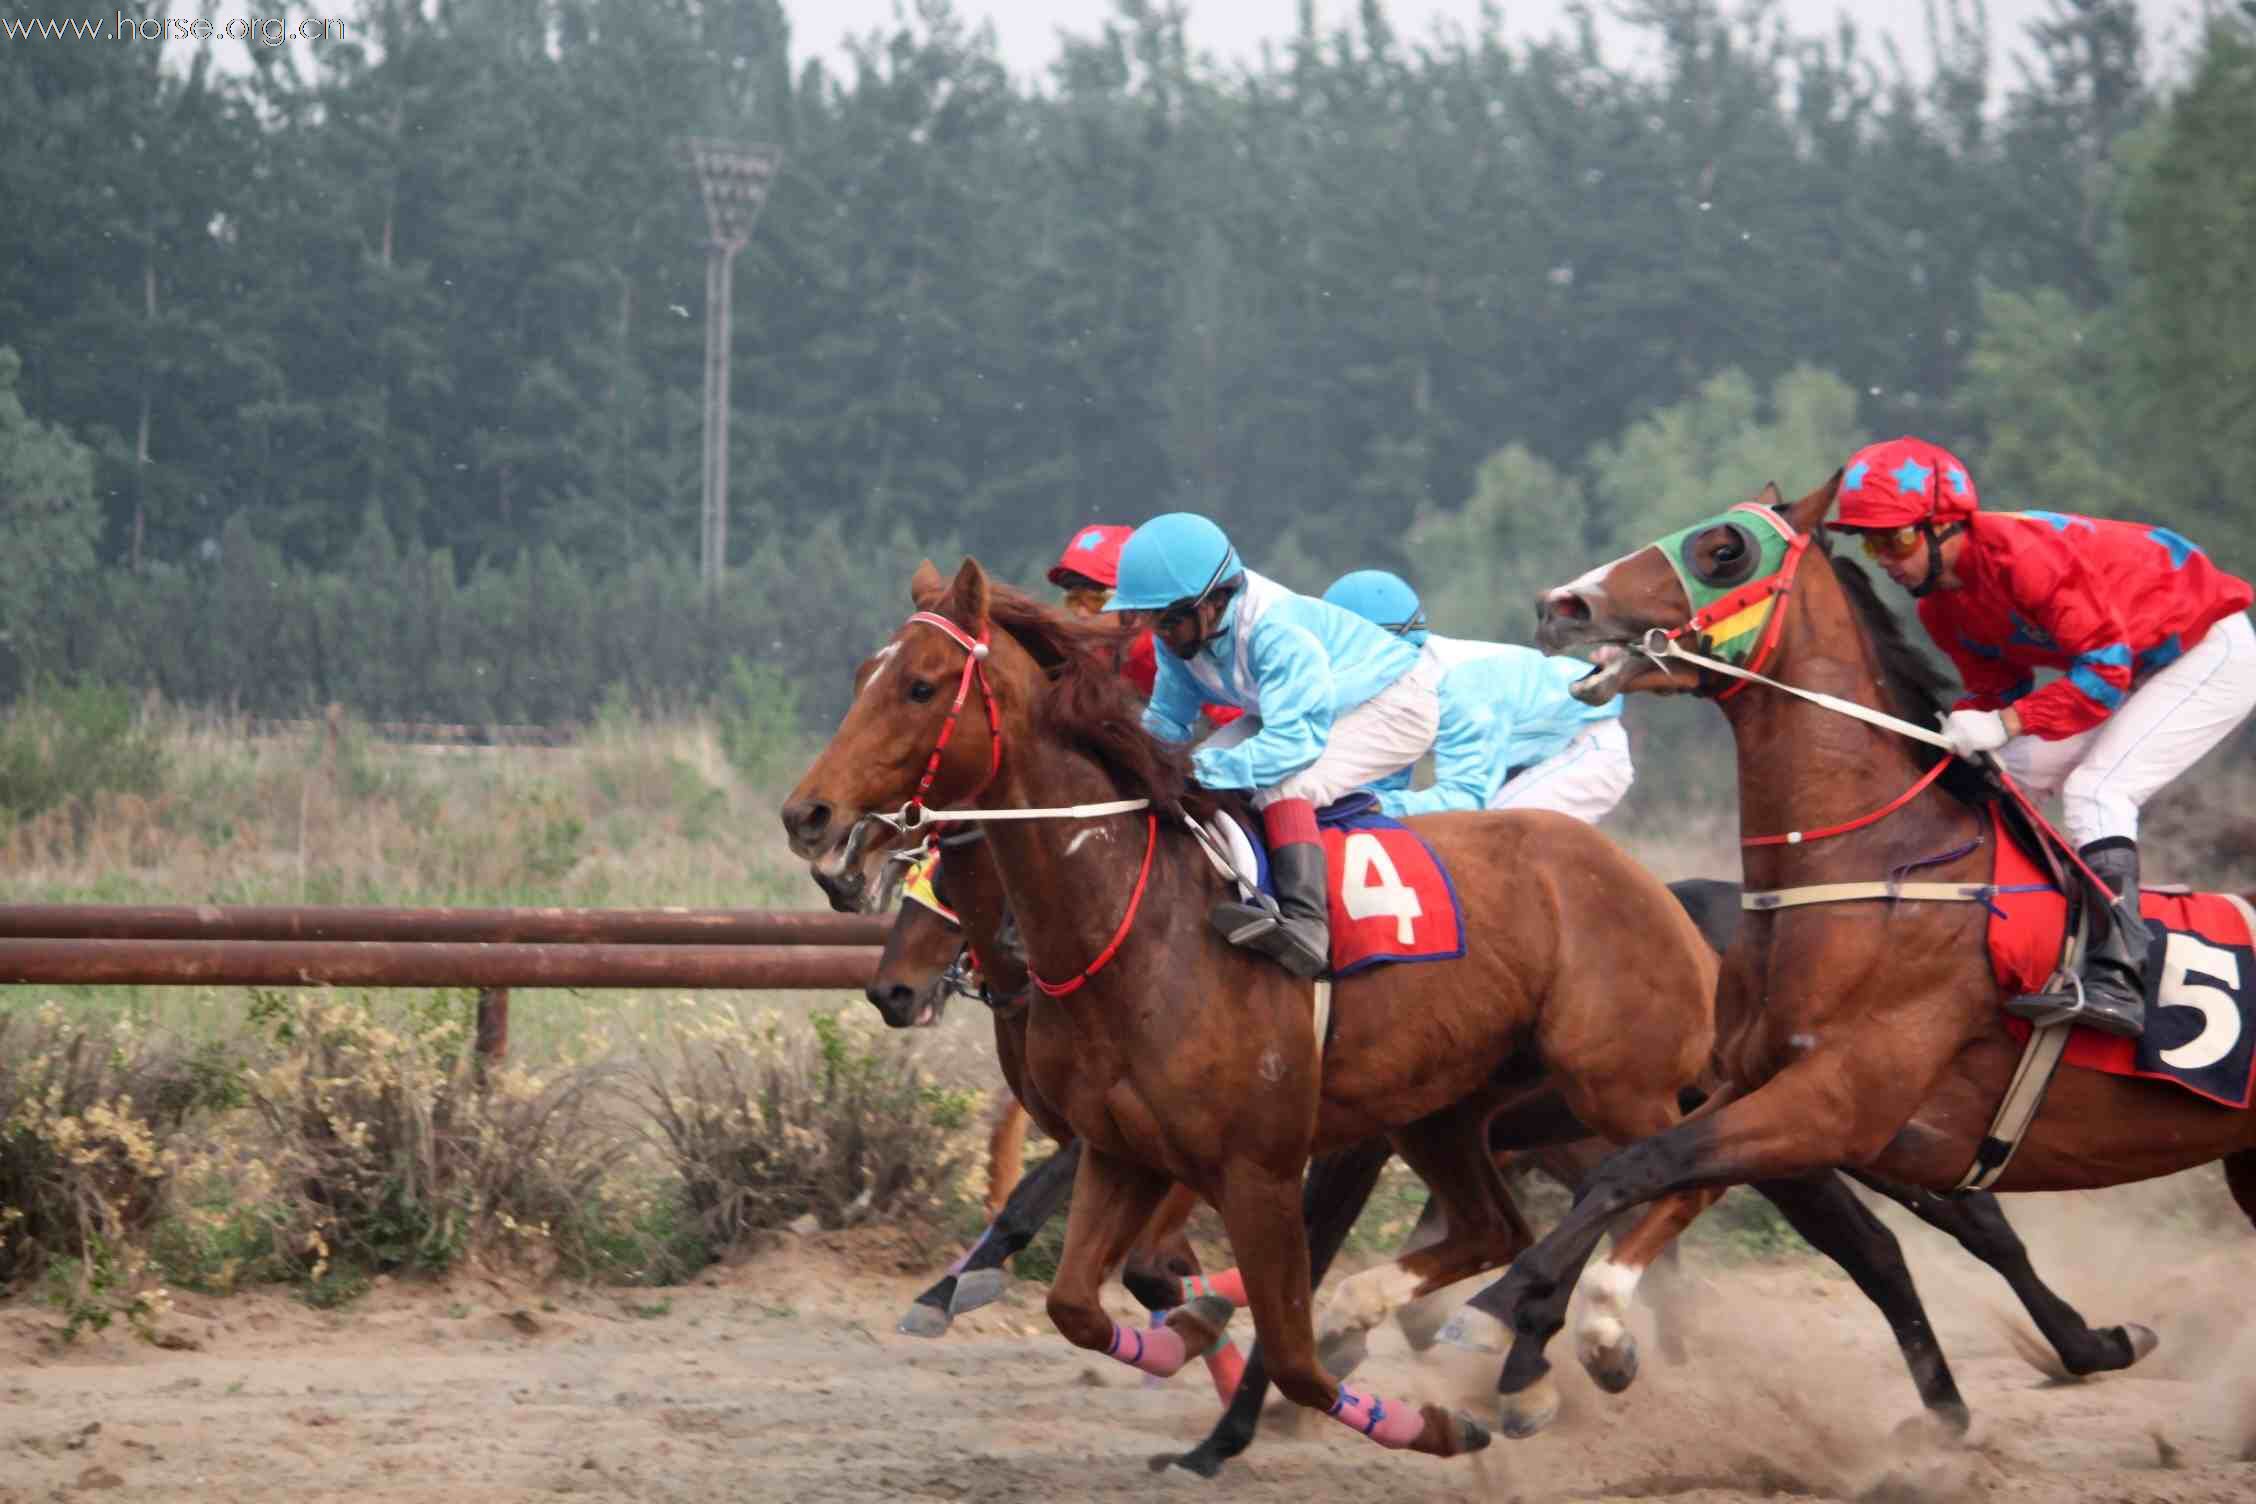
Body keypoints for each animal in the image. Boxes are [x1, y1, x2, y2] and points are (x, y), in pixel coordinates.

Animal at [785, 559, 1714, 1452]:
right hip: (1441, 1113)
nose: (811, 818)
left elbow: (1291, 1358)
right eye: (866, 673)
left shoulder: (1254, 1169)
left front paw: (1423, 1425)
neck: (1136, 922)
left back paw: (1590, 1339)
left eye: (921, 685)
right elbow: (1080, 1304)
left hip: (1614, 1087)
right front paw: (1180, 1341)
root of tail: (1658, 897)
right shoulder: (1120, 1151)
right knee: (1503, 1227)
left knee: (1673, 1173)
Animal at [1488, 475, 2246, 1434]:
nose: (1563, 605)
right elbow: (1658, 1178)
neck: (1875, 867)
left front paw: (1518, 1310)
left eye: (1723, 551)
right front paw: (1576, 1332)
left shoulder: (1834, 1102)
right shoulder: (1755, 1089)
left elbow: (1640, 1168)